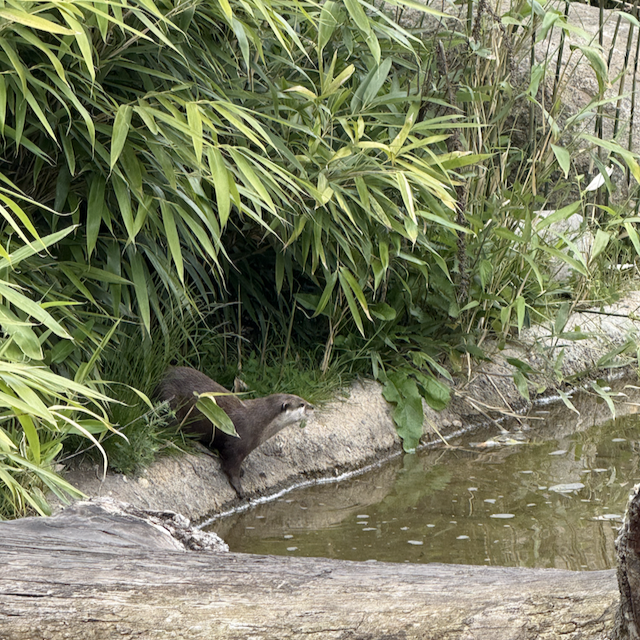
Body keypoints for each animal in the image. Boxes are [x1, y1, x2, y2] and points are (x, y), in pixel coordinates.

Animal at [156, 367, 310, 496]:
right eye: (302, 404)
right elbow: (230, 467)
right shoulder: (237, 444)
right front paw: (240, 489)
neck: (257, 422)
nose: (312, 406)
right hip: (171, 403)